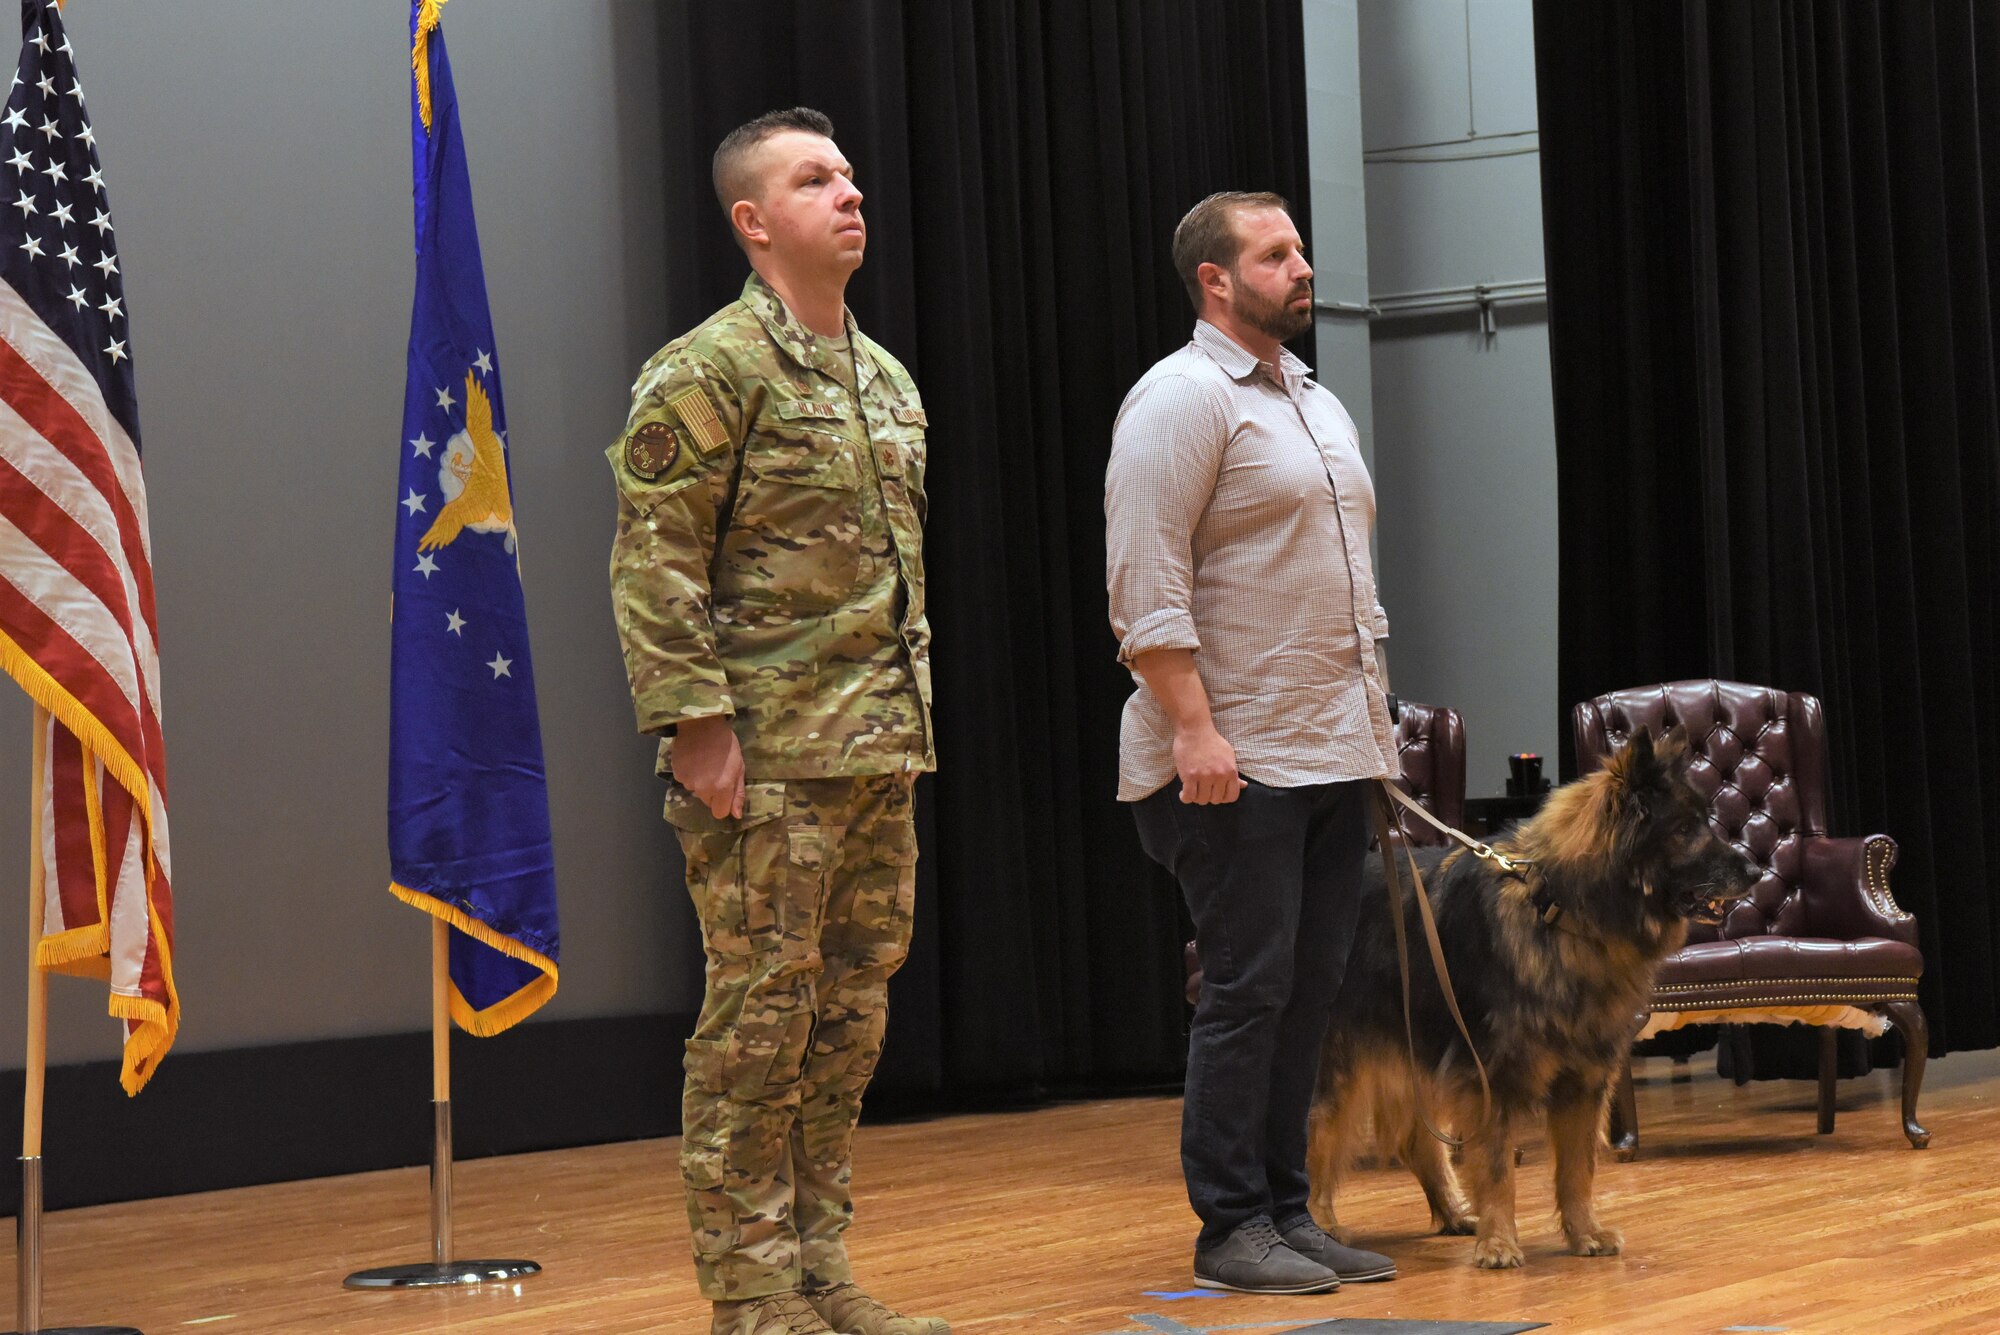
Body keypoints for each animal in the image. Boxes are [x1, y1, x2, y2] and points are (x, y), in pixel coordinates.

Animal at [1312, 735, 1752, 1271]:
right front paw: (1500, 1242)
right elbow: (1498, 1168)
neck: (1562, 912)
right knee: (1315, 1144)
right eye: (1686, 829)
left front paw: (1583, 1233)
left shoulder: (1584, 1079)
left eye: (1706, 821)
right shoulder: (1489, 1081)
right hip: (1334, 1071)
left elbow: (1578, 1171)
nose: (1755, 870)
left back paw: (1455, 1214)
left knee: (1418, 1143)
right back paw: (1321, 1228)